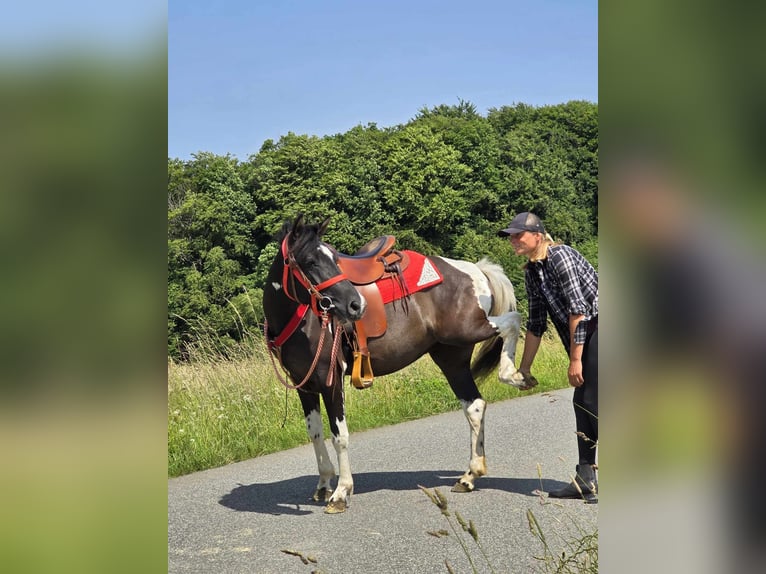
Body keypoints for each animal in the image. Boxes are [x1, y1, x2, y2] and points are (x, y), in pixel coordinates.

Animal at [262, 215, 529, 513]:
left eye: (335, 259)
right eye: (309, 261)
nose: (356, 304)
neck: (301, 319)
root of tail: (475, 270)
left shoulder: (331, 382)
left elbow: (339, 435)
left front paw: (341, 493)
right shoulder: (305, 385)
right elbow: (315, 434)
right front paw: (323, 485)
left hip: (468, 329)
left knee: (513, 321)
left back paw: (514, 375)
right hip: (451, 355)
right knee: (474, 406)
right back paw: (469, 476)